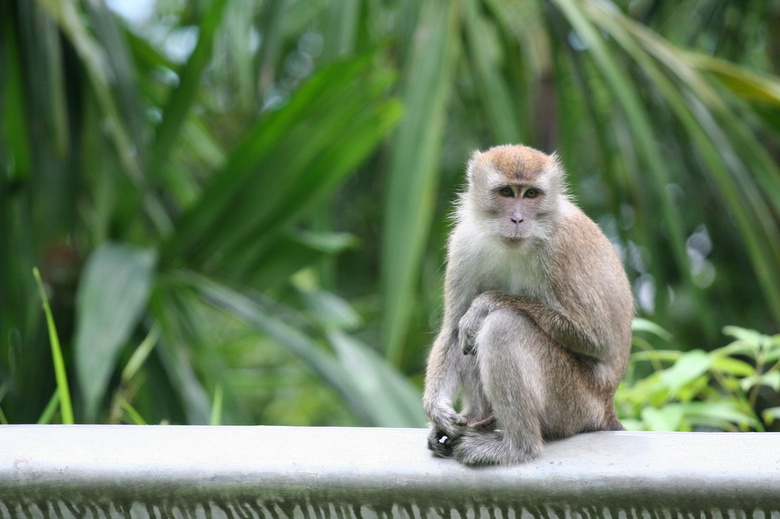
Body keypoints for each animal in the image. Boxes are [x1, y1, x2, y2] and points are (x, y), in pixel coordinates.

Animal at [420, 143, 632, 468]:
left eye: (531, 194)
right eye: (507, 192)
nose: (518, 219)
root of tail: (606, 406)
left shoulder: (562, 249)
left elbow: (599, 340)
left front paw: (486, 303)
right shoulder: (464, 243)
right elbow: (453, 330)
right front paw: (436, 409)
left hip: (575, 404)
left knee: (503, 326)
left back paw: (519, 447)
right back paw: (477, 419)